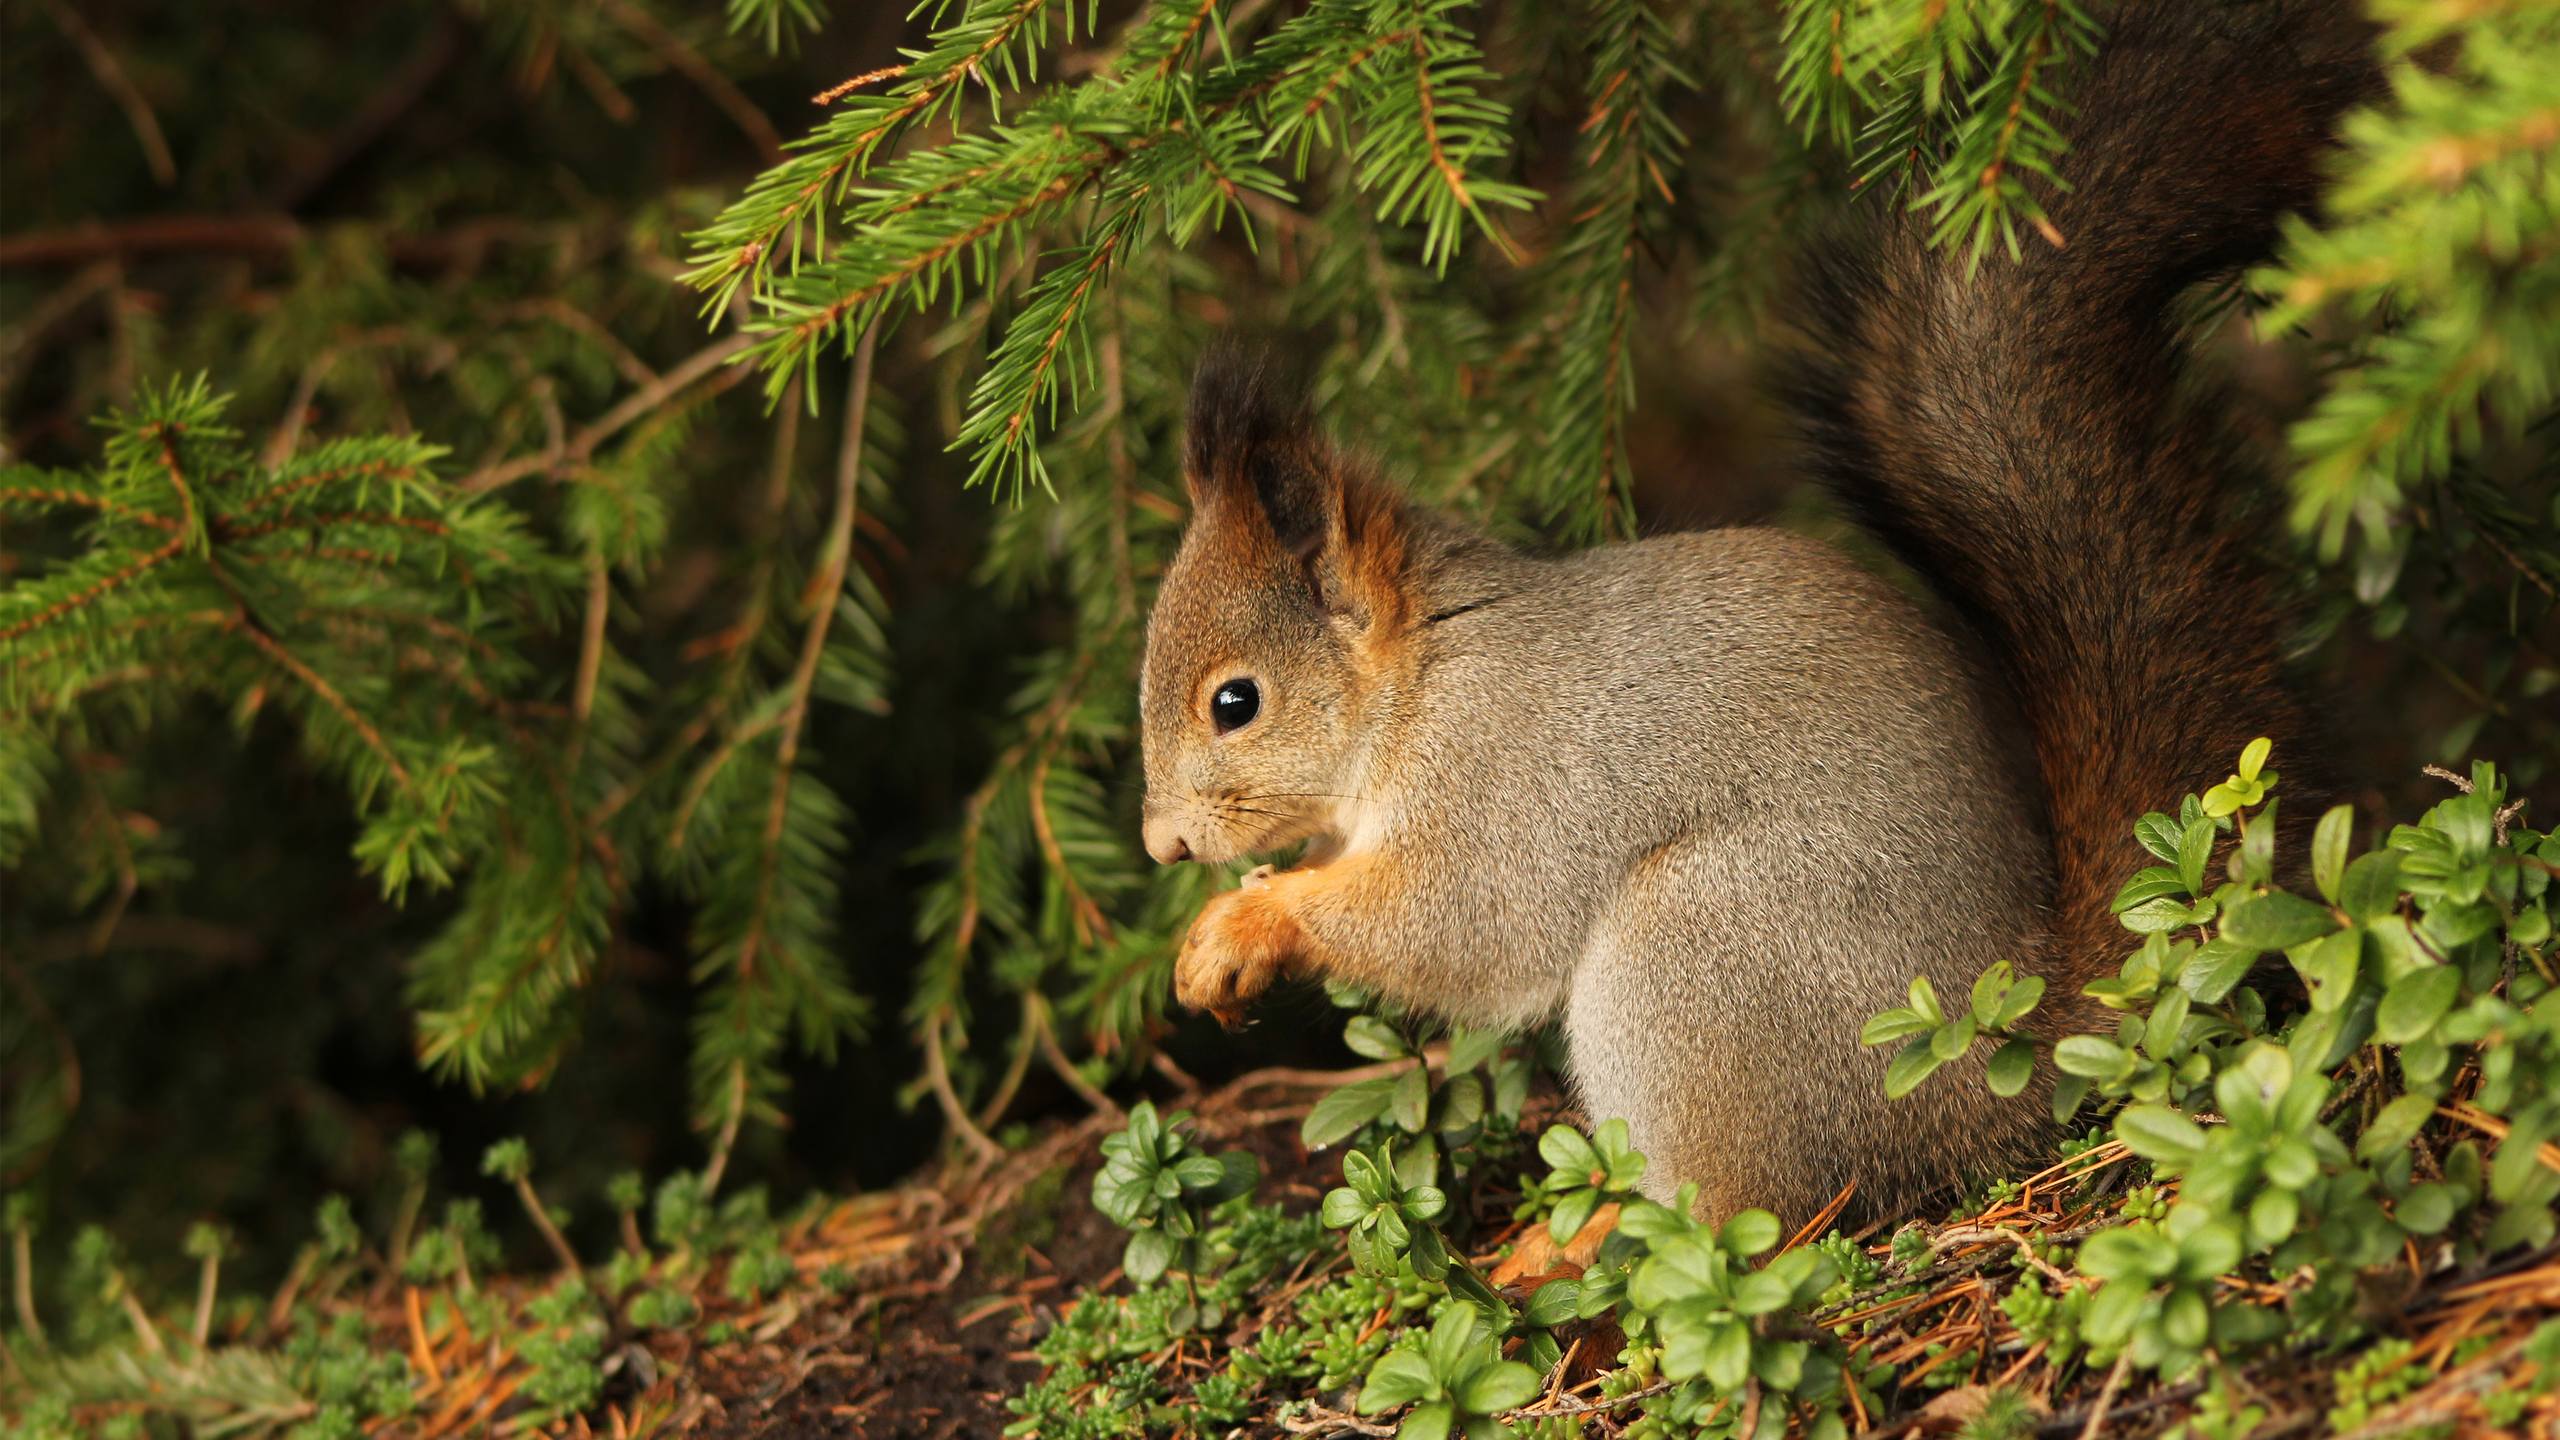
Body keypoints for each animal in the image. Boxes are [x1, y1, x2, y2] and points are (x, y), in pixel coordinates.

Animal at [1141, 2, 2375, 1219]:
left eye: (1235, 702)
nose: (1163, 846)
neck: (1422, 681)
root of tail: (1986, 1055)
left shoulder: (1505, 781)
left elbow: (1462, 923)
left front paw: (1250, 924)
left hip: (1702, 952)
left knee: (1747, 1212)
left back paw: (1580, 1244)